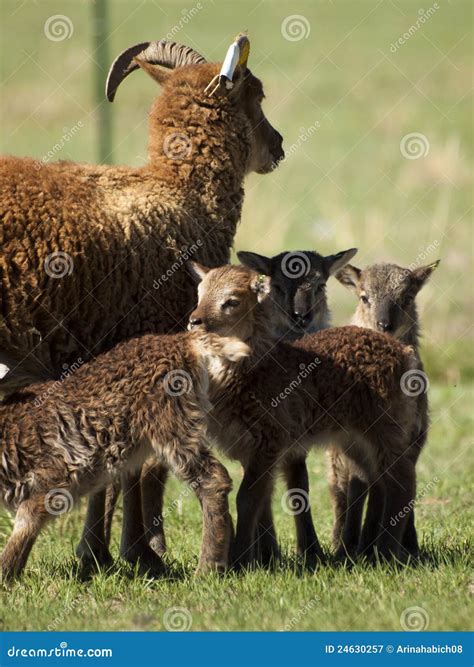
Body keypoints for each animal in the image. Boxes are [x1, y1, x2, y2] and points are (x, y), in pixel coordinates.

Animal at [0, 34, 282, 576]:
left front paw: (102, 553)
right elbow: (139, 465)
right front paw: (134, 552)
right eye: (256, 94)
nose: (277, 147)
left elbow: (118, 458)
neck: (177, 194)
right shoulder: (148, 337)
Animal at [187, 264, 420, 568]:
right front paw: (262, 559)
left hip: (386, 425)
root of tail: (402, 351)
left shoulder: (269, 440)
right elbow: (263, 499)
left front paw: (239, 561)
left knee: (402, 481)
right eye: (200, 294)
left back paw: (387, 553)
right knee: (376, 478)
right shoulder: (249, 447)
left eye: (232, 301)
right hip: (354, 438)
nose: (194, 321)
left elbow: (247, 498)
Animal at [326, 260, 440, 560]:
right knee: (343, 491)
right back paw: (345, 544)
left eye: (408, 297)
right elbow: (357, 488)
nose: (384, 324)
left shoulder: (411, 438)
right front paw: (351, 546)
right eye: (363, 297)